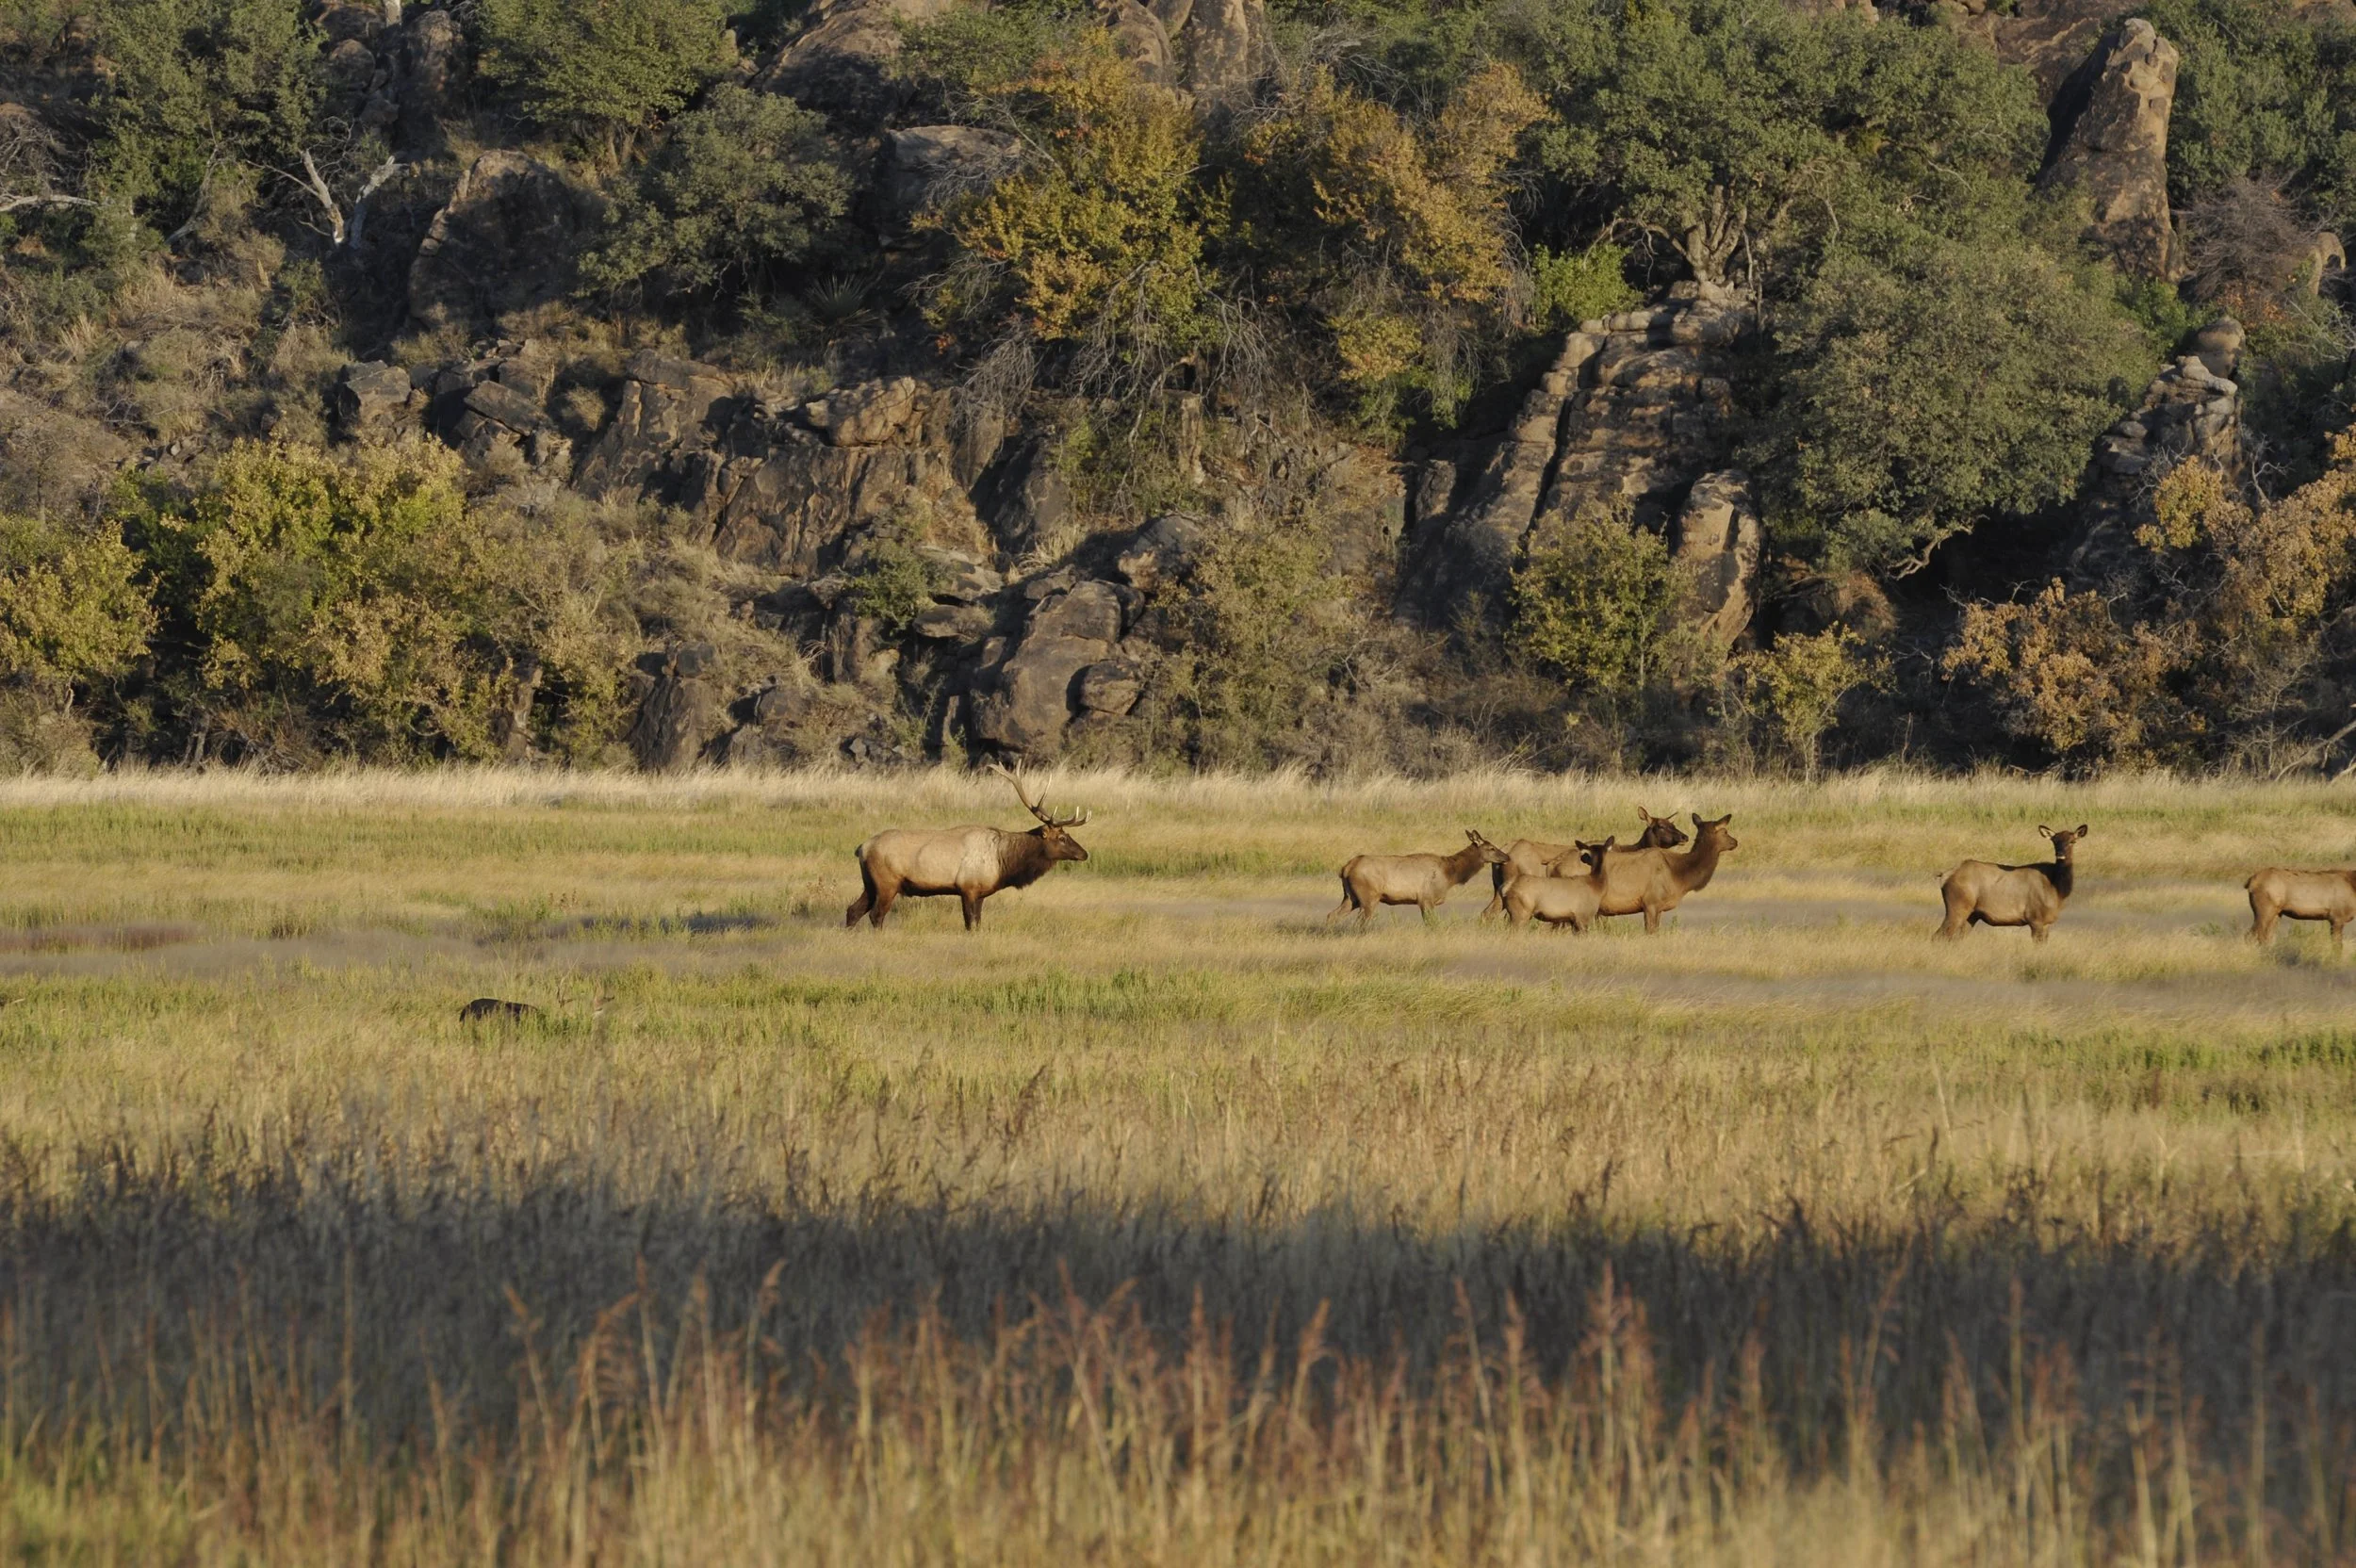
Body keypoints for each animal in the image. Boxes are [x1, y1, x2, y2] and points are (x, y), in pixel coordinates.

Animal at [847, 763, 1090, 931]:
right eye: (1062, 838)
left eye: (1068, 835)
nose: (1085, 854)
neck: (1003, 863)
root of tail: (861, 848)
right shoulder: (968, 888)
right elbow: (969, 923)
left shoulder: (981, 893)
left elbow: (977, 923)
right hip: (887, 882)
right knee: (876, 915)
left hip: (870, 883)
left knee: (853, 911)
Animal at [1328, 830, 1508, 928]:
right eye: (1492, 848)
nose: (1507, 857)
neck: (1451, 874)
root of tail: (1346, 868)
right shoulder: (1426, 898)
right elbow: (1432, 923)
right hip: (1368, 896)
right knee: (1361, 921)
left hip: (1351, 897)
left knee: (1332, 915)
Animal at [1480, 806, 1689, 920]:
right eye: (1660, 826)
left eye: (1673, 824)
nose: (1684, 836)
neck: (1632, 848)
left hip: (1497, 887)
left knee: (1486, 913)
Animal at [1583, 813, 1740, 934]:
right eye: (1725, 832)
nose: (1735, 841)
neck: (1679, 875)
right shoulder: (1651, 901)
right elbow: (1651, 931)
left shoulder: (1658, 906)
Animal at [1937, 825, 2085, 942]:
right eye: (2055, 841)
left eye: (2072, 841)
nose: (2060, 854)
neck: (2057, 889)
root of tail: (1945, 876)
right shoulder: (2035, 918)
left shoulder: (2046, 922)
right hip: (1957, 906)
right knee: (1939, 936)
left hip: (1972, 915)